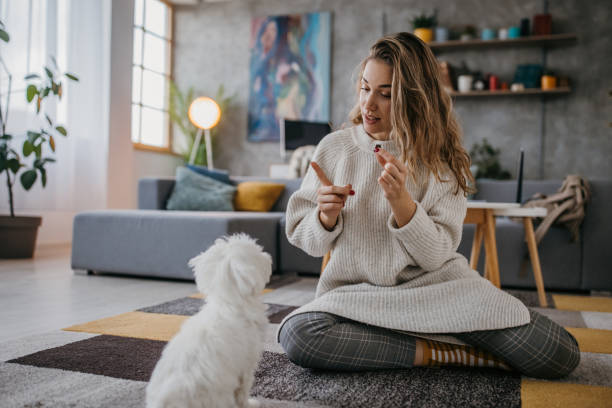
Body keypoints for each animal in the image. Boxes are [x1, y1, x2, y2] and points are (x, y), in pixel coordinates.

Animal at [145, 233, 272, 408]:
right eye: (258, 251)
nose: (268, 256)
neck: (228, 302)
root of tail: (164, 403)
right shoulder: (247, 363)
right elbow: (243, 390)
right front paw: (249, 404)